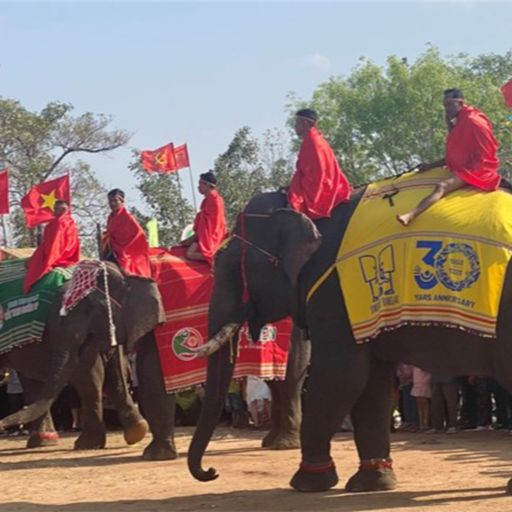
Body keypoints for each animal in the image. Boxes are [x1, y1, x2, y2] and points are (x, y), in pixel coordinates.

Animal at [187, 190, 512, 494]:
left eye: (229, 266)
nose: (211, 471)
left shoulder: (334, 292)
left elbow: (339, 378)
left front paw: (306, 483)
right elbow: (372, 385)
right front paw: (373, 483)